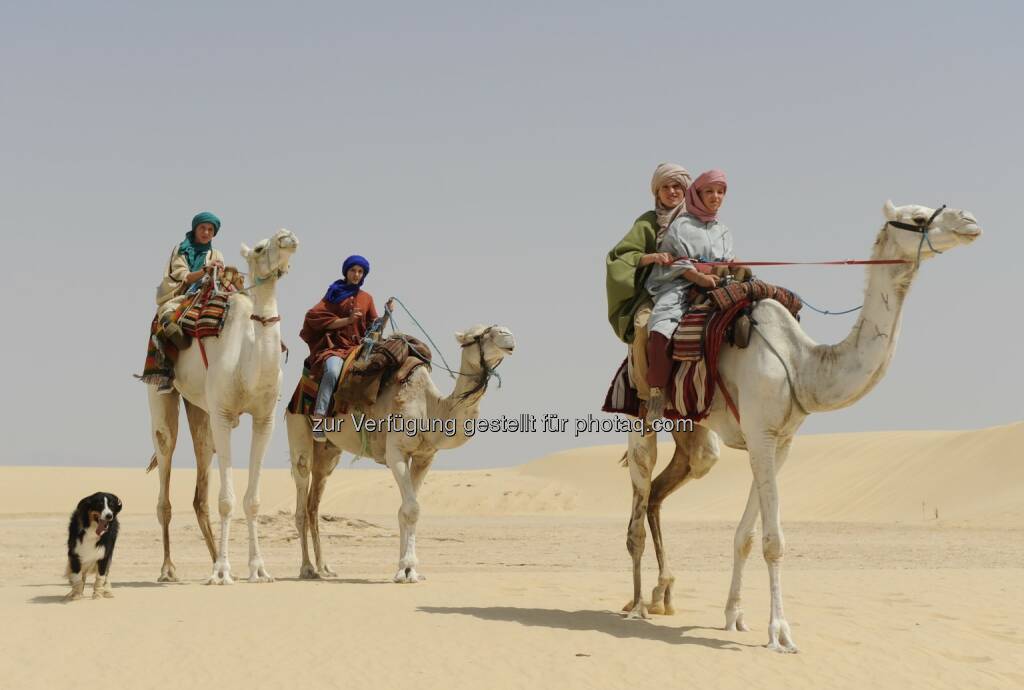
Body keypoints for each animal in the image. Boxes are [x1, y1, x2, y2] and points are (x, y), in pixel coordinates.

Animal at [148, 228, 299, 581]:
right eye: (259, 247)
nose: (287, 236)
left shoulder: (265, 419)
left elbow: (252, 500)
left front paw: (258, 570)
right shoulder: (222, 415)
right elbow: (227, 500)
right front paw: (222, 572)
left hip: (200, 410)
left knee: (201, 478)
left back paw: (213, 557)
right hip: (162, 397)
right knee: (166, 457)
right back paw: (169, 568)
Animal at [286, 323, 512, 581]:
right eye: (477, 335)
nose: (508, 336)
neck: (429, 409)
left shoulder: (425, 457)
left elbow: (405, 509)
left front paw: (407, 570)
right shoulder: (396, 452)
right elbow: (411, 509)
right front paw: (407, 567)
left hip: (328, 452)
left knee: (314, 503)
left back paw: (324, 567)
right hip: (298, 428)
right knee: (302, 494)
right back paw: (307, 568)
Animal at [622, 200, 983, 651]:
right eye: (917, 218)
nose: (971, 221)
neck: (801, 364)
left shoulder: (780, 441)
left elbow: (746, 536)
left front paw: (735, 616)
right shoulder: (760, 435)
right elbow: (773, 541)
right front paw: (780, 632)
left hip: (694, 431)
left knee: (664, 486)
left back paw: (661, 595)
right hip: (644, 414)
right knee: (639, 499)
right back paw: (636, 604)